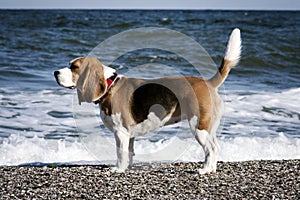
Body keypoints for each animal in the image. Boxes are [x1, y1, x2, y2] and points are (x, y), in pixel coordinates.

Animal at [53, 28, 241, 173]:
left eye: (74, 67)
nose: (55, 72)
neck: (109, 85)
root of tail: (208, 82)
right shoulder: (129, 135)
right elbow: (128, 153)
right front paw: (127, 168)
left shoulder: (120, 133)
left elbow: (120, 153)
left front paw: (118, 169)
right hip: (209, 127)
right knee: (216, 147)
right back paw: (211, 169)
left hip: (198, 126)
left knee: (211, 148)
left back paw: (204, 170)